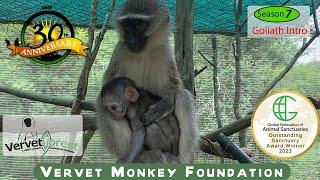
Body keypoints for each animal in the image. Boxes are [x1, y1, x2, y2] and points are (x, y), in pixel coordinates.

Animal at [96, 0, 199, 163]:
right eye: (127, 24)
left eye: (139, 24)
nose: (130, 37)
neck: (143, 52)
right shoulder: (120, 50)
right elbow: (107, 86)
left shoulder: (165, 52)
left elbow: (175, 88)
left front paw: (164, 105)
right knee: (101, 101)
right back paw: (140, 156)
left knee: (184, 96)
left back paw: (180, 159)